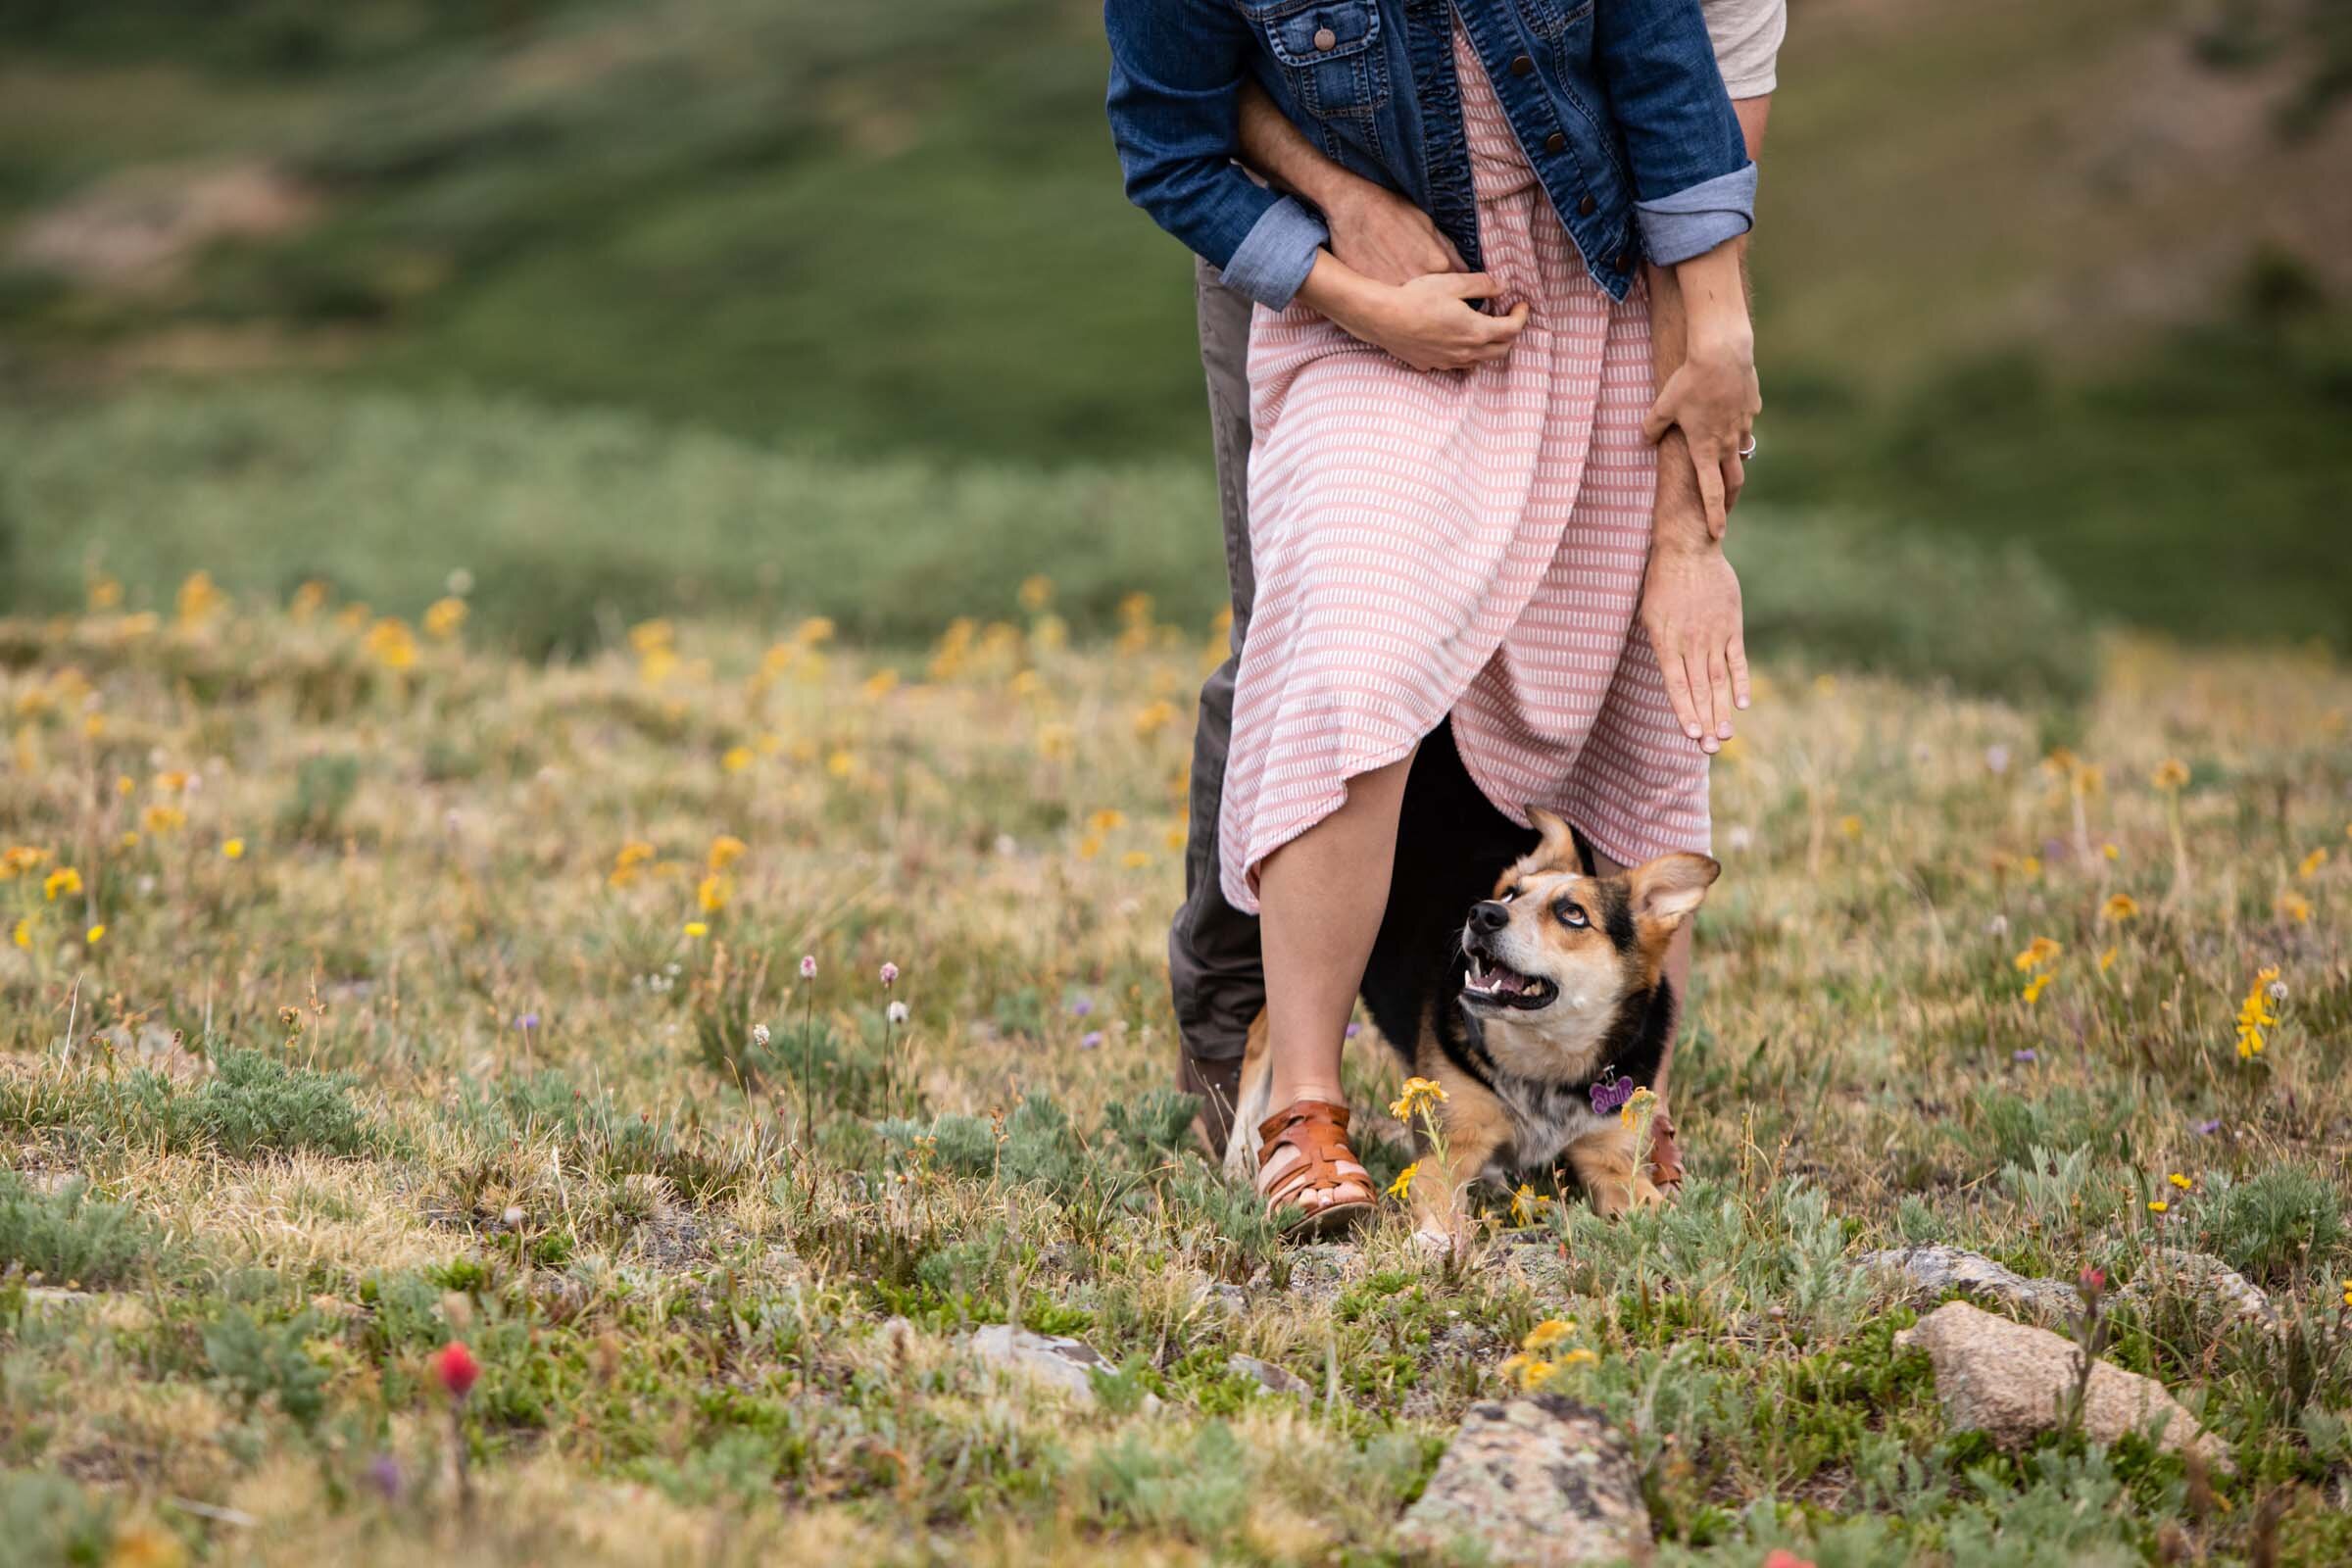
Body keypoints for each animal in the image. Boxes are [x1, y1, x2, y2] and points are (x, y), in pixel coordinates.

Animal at [1232, 808, 1712, 1241]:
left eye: (1573, 914)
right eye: (1512, 894)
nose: (1483, 913)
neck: (1545, 1058)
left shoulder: (1609, 1157)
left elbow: (1643, 1200)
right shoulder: (1451, 1146)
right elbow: (1443, 1197)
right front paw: (1438, 1240)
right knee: (1260, 1038)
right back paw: (1240, 1156)